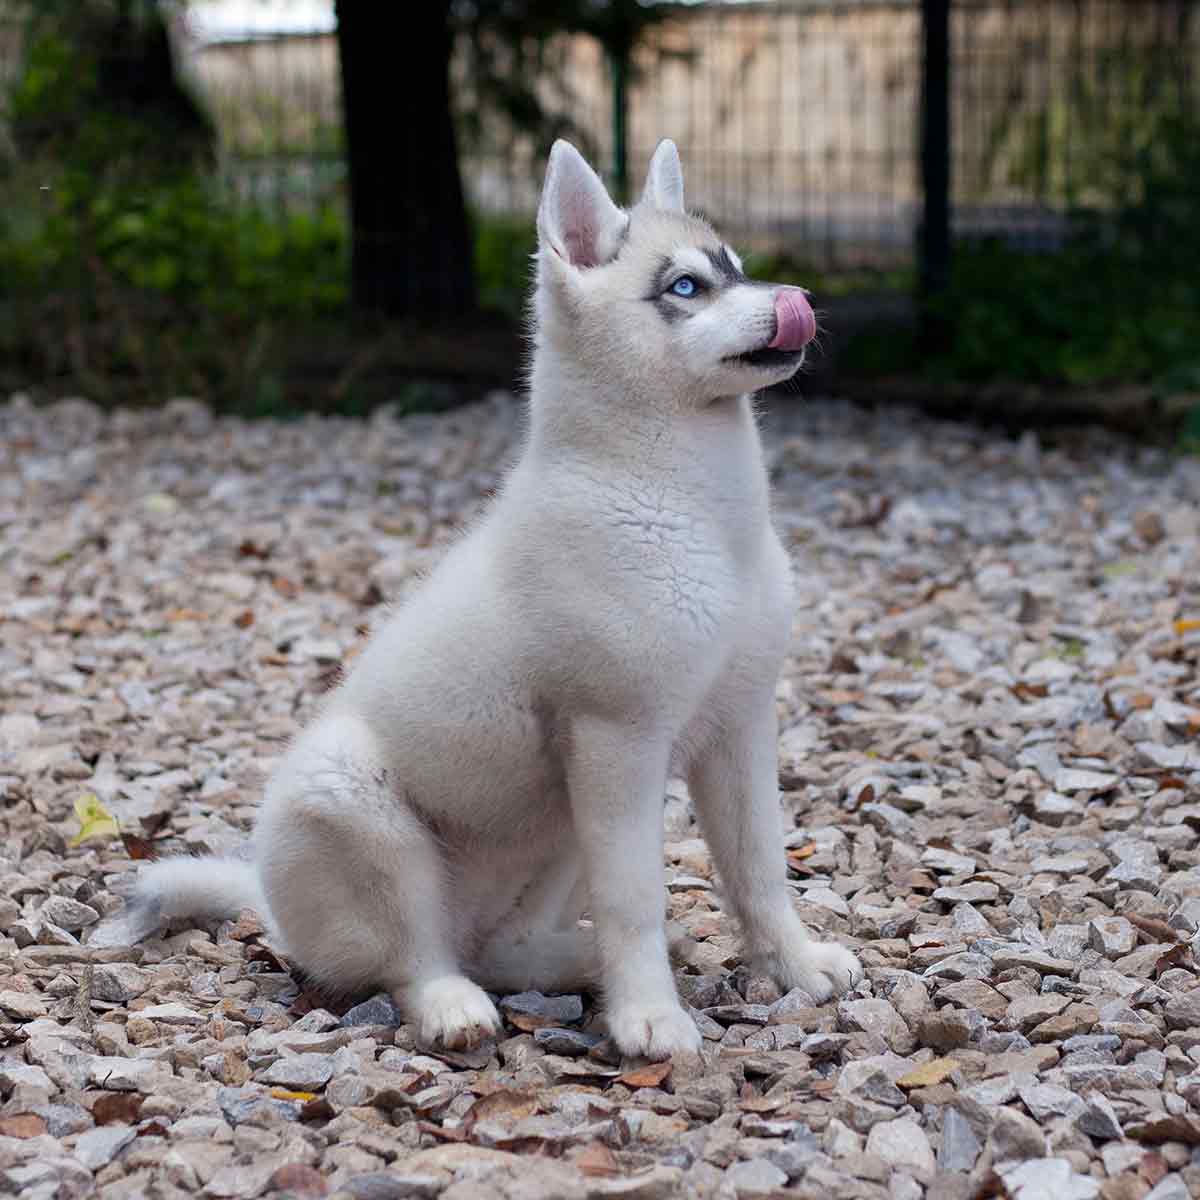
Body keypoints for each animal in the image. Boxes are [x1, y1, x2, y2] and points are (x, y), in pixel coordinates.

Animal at [119, 142, 864, 1060]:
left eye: (736, 268)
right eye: (686, 287)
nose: (799, 305)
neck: (696, 514)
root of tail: (271, 901)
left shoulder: (738, 728)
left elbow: (760, 869)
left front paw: (795, 966)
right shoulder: (618, 739)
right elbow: (636, 899)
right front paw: (650, 1015)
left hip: (558, 829)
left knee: (500, 949)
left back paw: (572, 962)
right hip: (365, 809)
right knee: (413, 959)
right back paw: (455, 1005)